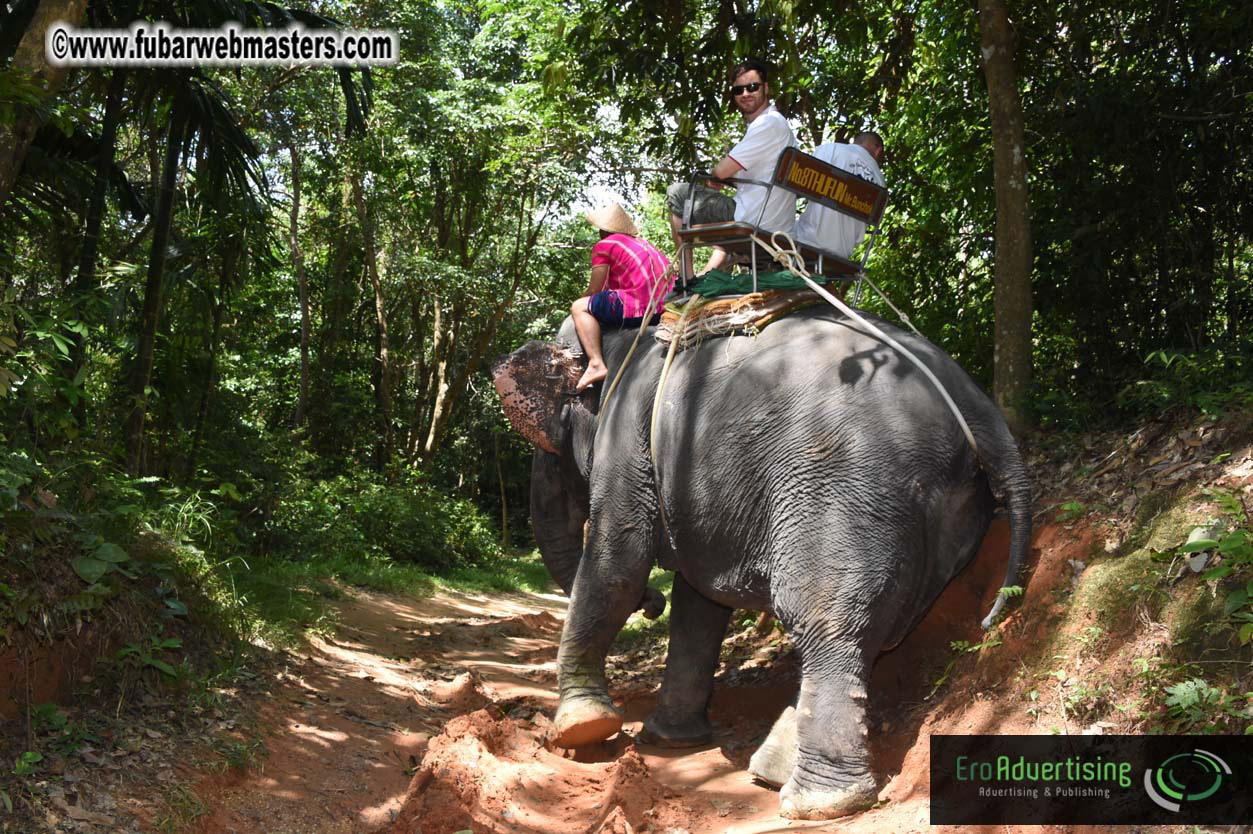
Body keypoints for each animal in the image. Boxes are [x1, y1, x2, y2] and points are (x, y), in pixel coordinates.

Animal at [491, 305, 1031, 820]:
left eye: (551, 452)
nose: (652, 603)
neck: (620, 337)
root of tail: (978, 406)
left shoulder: (626, 438)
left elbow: (619, 563)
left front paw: (582, 730)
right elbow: (698, 602)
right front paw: (670, 739)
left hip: (845, 497)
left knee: (825, 624)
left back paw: (817, 802)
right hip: (946, 514)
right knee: (875, 629)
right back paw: (773, 771)